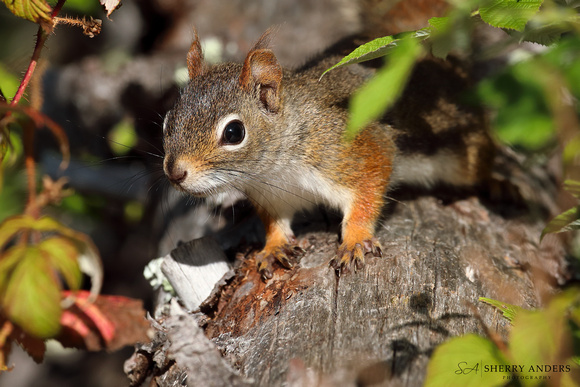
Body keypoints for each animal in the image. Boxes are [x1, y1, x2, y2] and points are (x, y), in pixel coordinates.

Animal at [162, 28, 494, 280]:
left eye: (234, 133)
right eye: (168, 120)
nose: (175, 173)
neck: (274, 170)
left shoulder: (358, 149)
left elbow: (367, 192)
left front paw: (355, 240)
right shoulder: (271, 195)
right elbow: (275, 223)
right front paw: (273, 247)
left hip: (465, 155)